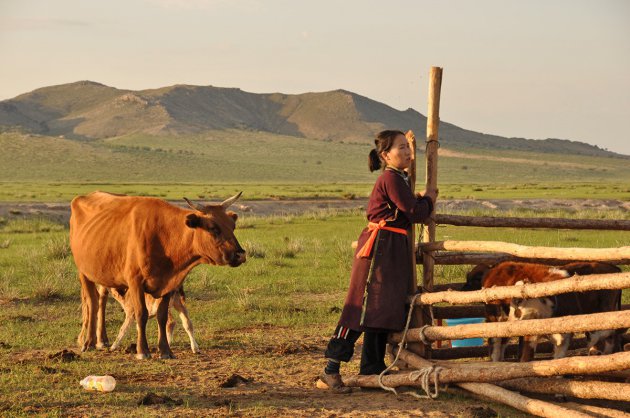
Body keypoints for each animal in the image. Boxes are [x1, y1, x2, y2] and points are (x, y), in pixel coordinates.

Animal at [70, 191, 246, 358]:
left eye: (232, 226)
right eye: (213, 228)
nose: (240, 254)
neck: (165, 236)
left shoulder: (169, 283)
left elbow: (162, 317)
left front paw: (165, 351)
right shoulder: (135, 283)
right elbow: (141, 314)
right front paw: (142, 351)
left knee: (102, 299)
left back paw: (102, 340)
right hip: (84, 272)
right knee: (92, 303)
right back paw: (89, 342)